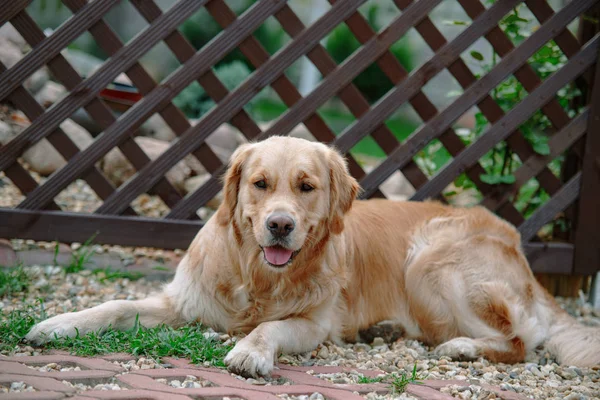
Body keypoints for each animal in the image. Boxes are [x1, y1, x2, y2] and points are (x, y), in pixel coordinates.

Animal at [27, 136, 600, 376]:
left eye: (306, 187)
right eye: (260, 184)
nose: (280, 225)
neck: (257, 278)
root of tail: (518, 246)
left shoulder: (312, 324)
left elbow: (270, 328)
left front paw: (251, 352)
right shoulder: (185, 301)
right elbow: (115, 305)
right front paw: (57, 324)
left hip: (428, 262)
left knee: (522, 340)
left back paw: (461, 348)